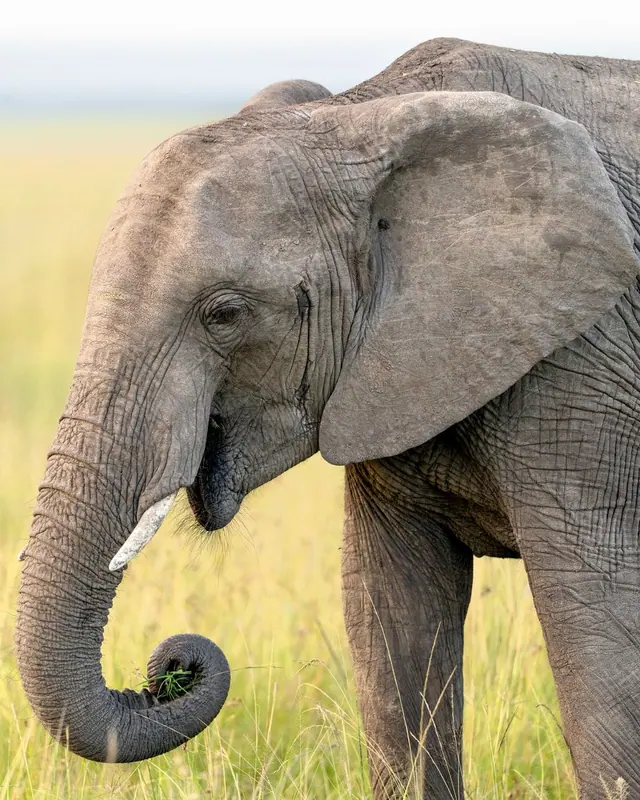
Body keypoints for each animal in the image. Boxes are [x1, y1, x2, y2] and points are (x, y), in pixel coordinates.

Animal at [15, 36, 640, 799]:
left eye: (224, 313)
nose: (170, 668)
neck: (359, 116)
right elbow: (390, 621)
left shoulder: (585, 367)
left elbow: (597, 632)